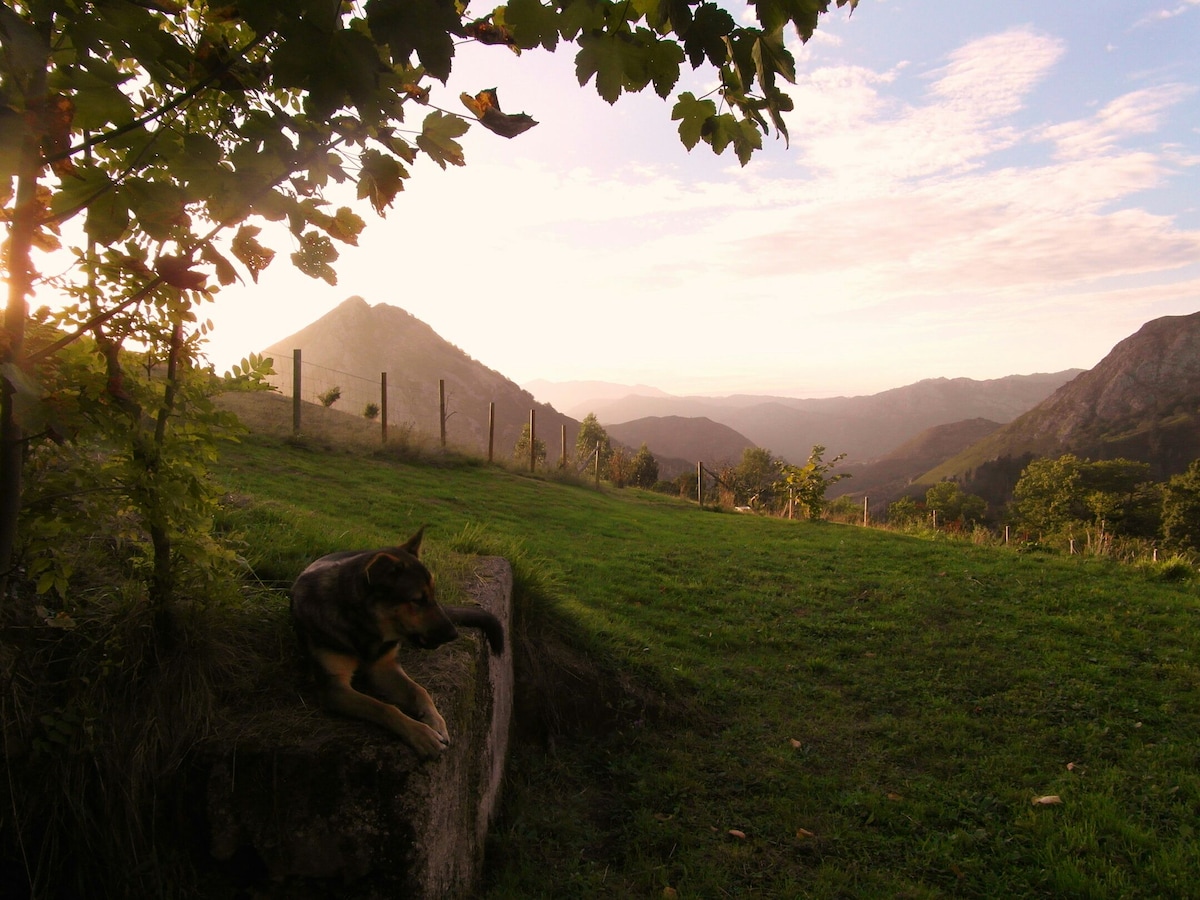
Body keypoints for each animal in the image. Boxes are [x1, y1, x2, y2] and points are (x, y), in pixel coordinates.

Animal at [292, 528, 504, 763]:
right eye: (418, 600)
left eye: (433, 595)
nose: (453, 634)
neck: (363, 625)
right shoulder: (333, 688)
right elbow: (382, 707)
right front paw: (422, 734)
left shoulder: (384, 668)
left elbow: (419, 690)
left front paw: (435, 720)